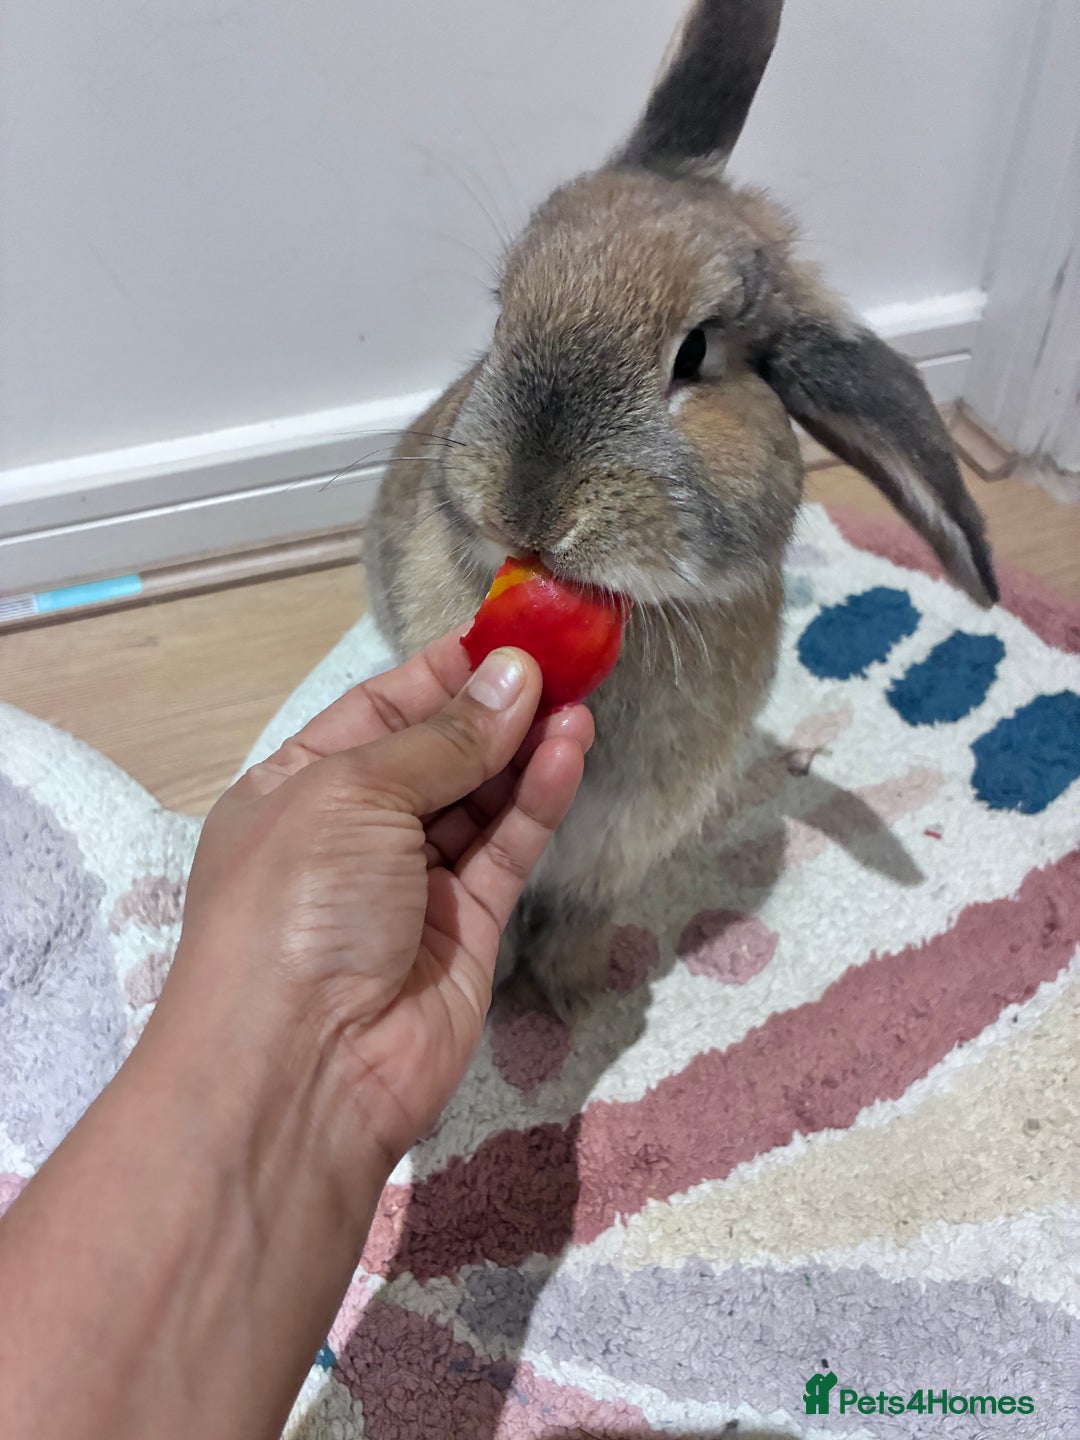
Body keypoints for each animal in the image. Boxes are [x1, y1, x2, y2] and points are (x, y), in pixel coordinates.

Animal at [365, 0, 997, 1017]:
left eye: (695, 353)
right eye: (503, 310)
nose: (525, 506)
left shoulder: (616, 851)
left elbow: (575, 918)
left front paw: (580, 999)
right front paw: (505, 998)